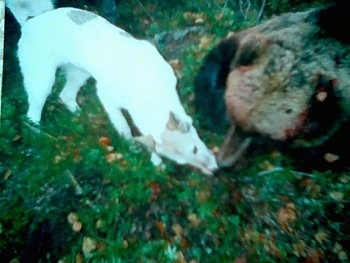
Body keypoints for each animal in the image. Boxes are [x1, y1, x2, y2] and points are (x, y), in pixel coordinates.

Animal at [6, 1, 217, 176]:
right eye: (184, 159)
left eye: (194, 151)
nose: (215, 170)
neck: (148, 90)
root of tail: (30, 22)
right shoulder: (108, 100)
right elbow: (124, 127)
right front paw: (137, 150)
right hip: (42, 81)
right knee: (33, 113)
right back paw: (39, 136)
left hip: (80, 74)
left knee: (66, 95)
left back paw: (79, 115)